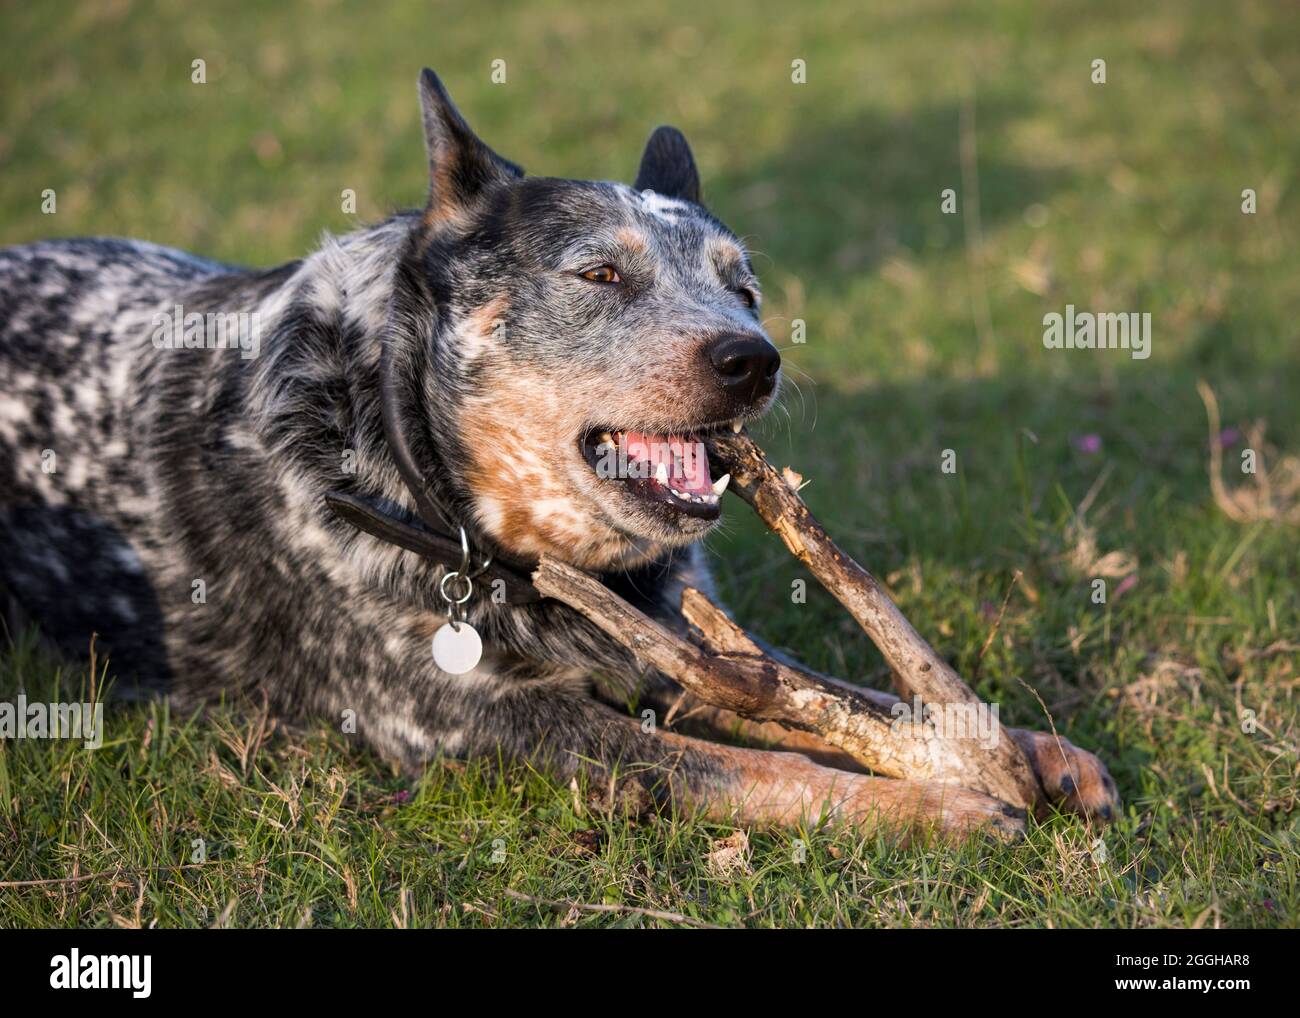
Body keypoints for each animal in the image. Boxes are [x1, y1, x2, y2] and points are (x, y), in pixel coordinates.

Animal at [0, 69, 1118, 837]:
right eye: (601, 275)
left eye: (745, 288)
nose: (753, 359)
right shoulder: (477, 724)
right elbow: (742, 766)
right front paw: (937, 806)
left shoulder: (675, 639)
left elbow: (849, 694)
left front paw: (1028, 749)